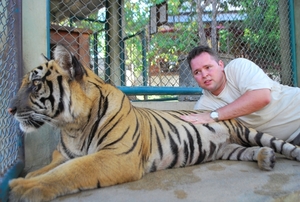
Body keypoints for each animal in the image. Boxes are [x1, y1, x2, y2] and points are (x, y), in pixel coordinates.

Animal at [8, 44, 300, 202]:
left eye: (35, 84)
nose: (9, 109)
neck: (72, 126)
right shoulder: (65, 155)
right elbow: (47, 169)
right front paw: (25, 179)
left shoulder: (116, 156)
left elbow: (69, 172)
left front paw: (22, 187)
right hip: (228, 149)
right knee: (249, 151)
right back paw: (265, 158)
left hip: (250, 133)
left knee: (281, 145)